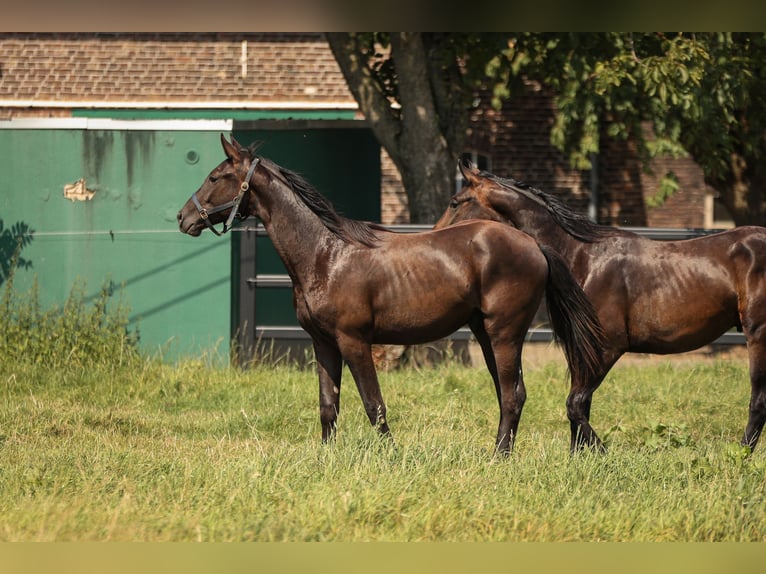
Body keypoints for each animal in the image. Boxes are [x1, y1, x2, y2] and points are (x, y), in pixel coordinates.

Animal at [178, 137, 608, 456]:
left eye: (216, 176)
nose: (184, 218)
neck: (325, 254)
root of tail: (532, 244)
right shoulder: (323, 343)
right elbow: (328, 405)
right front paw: (326, 457)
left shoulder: (354, 341)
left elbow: (374, 404)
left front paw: (391, 455)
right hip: (486, 335)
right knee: (510, 394)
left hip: (505, 334)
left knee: (513, 394)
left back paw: (500, 457)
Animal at [440, 159, 766, 454]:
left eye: (455, 202)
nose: (437, 234)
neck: (584, 258)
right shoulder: (580, 350)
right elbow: (580, 404)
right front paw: (578, 458)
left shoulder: (608, 347)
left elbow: (575, 404)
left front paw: (603, 453)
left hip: (757, 335)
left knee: (758, 400)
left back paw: (741, 453)